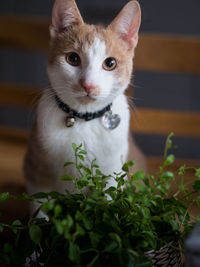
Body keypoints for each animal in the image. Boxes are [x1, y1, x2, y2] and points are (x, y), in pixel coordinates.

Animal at [23, 0, 145, 201]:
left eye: (110, 63)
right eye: (73, 58)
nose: (88, 85)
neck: (84, 120)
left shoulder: (113, 175)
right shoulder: (36, 171)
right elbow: (42, 203)